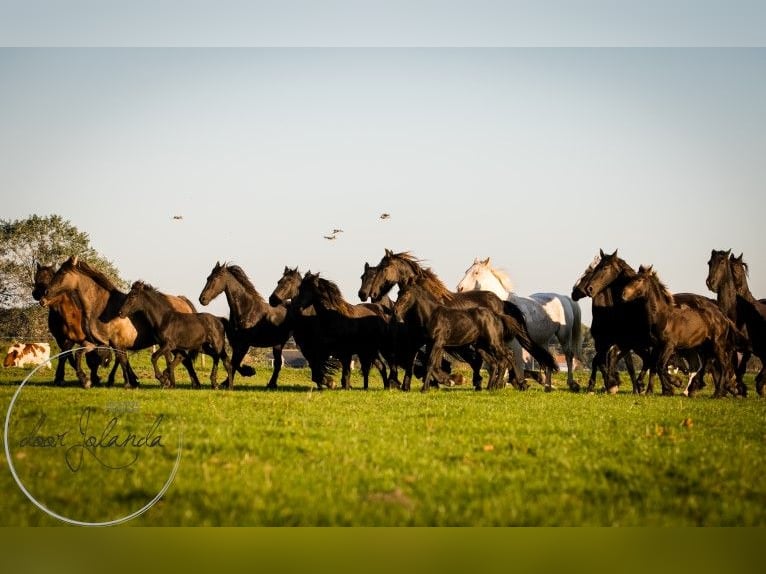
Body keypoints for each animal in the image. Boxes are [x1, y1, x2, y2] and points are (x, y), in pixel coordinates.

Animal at [460, 258, 584, 394]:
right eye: (466, 271)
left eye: (476, 272)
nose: (459, 288)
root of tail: (564, 298)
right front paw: (505, 383)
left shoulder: (515, 345)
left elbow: (513, 362)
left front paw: (513, 383)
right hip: (542, 341)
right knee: (547, 360)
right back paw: (547, 386)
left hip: (563, 336)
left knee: (568, 356)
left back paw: (571, 384)